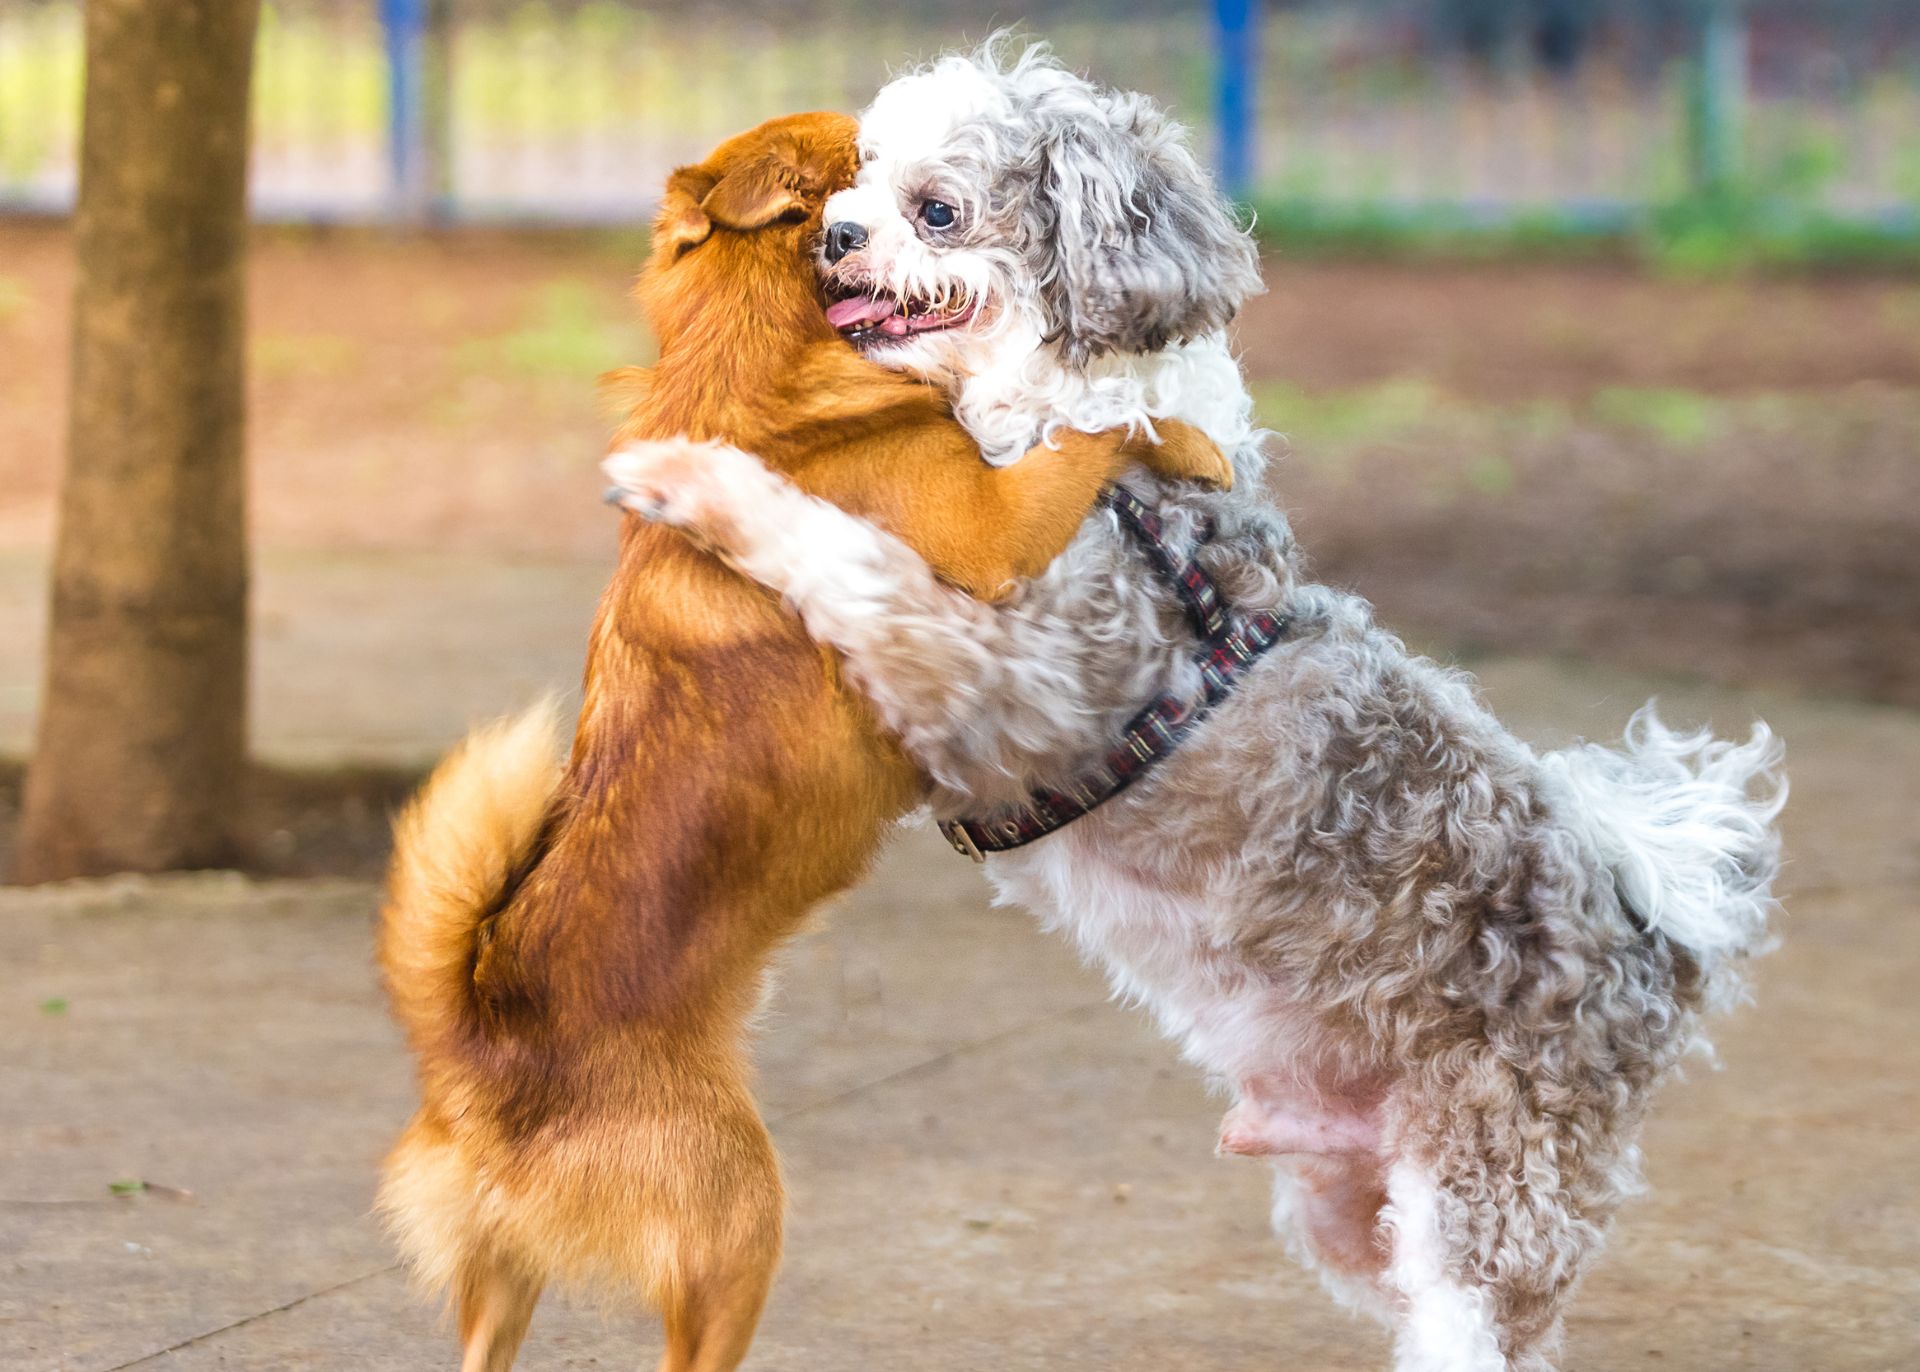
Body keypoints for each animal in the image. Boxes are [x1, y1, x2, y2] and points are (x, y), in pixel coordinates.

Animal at [374, 112, 1221, 1372]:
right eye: (868, 162)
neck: (747, 352)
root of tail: (484, 1051)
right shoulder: (998, 524)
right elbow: (1093, 432)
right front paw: (1193, 442)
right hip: (741, 1217)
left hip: (502, 1285)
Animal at [602, 45, 1781, 1372]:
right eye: (855, 180)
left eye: (936, 208)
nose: (838, 240)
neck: (1068, 426)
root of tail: (1657, 934)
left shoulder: (1009, 677)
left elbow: (845, 555)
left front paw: (699, 477)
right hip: (1348, 1206)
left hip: (1485, 1192)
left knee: (1474, 1324)